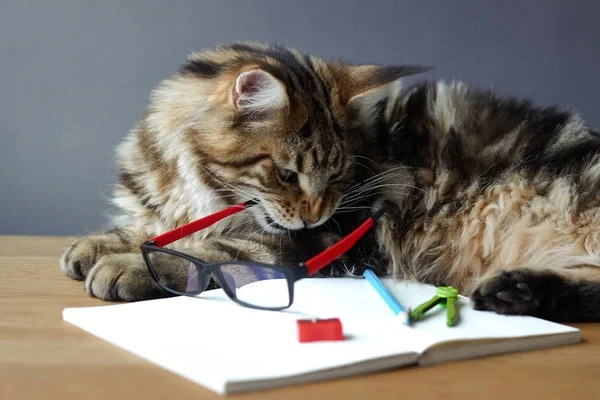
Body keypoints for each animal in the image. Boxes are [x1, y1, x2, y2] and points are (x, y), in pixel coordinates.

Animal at [59, 41, 600, 322]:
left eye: (337, 172)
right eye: (286, 173)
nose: (315, 213)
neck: (200, 186)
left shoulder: (310, 243)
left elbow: (207, 250)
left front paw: (127, 266)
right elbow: (147, 229)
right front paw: (93, 246)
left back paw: (510, 291)